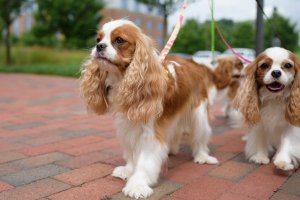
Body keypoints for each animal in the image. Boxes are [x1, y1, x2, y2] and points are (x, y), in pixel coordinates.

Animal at [79, 19, 218, 198]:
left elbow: (145, 161)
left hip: (198, 114)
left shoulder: (150, 134)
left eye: (119, 40)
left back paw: (202, 156)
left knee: (200, 136)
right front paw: (128, 170)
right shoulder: (128, 126)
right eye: (98, 39)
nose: (99, 46)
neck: (124, 80)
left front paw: (137, 185)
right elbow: (132, 152)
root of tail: (194, 63)